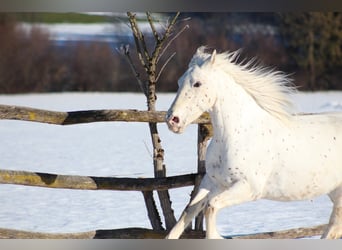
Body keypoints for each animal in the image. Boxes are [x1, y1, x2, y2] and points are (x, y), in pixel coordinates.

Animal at [166, 46, 342, 238]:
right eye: (179, 82)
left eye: (197, 83)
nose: (172, 120)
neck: (237, 135)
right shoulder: (212, 181)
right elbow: (189, 211)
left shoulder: (248, 188)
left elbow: (211, 206)